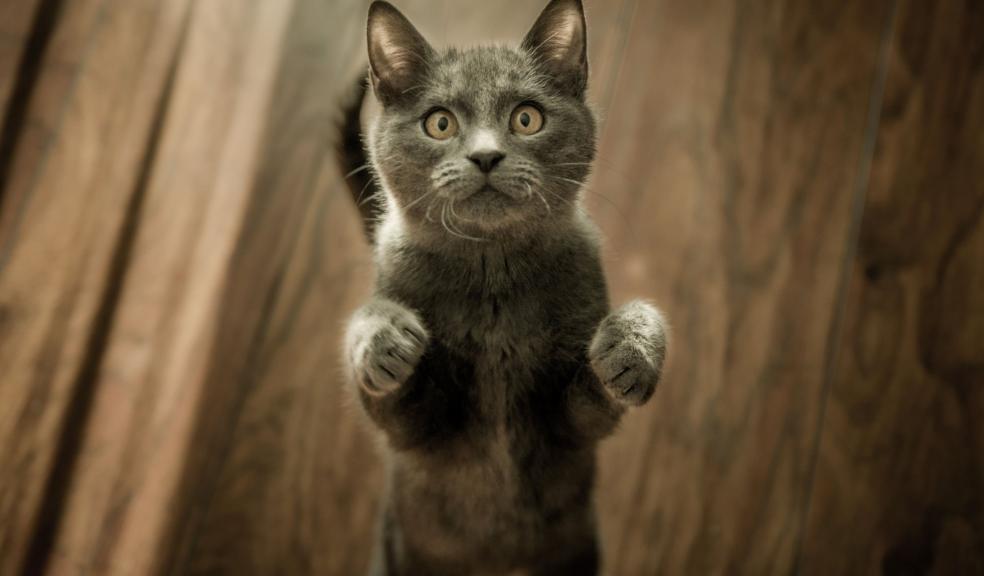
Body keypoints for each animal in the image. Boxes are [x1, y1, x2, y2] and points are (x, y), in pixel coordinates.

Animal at [338, 2, 668, 572]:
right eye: (440, 122)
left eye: (526, 118)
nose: (486, 156)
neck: (492, 274)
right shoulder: (419, 435)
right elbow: (387, 386)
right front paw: (383, 340)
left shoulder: (569, 430)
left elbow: (596, 403)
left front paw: (632, 348)